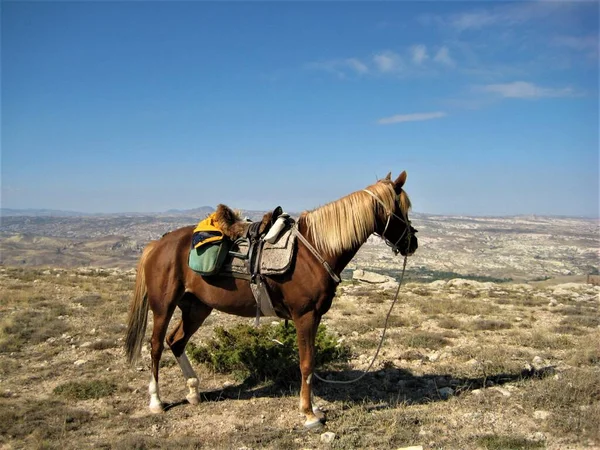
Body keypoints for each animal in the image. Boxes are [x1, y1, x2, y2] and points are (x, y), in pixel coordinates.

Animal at [125, 170, 420, 428]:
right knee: (155, 346)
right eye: (401, 209)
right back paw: (156, 401)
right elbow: (306, 363)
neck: (316, 250)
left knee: (176, 341)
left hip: (197, 307)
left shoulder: (314, 317)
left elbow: (310, 363)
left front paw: (314, 408)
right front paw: (309, 414)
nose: (412, 243)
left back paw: (194, 392)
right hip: (163, 306)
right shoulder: (304, 316)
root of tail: (158, 243)